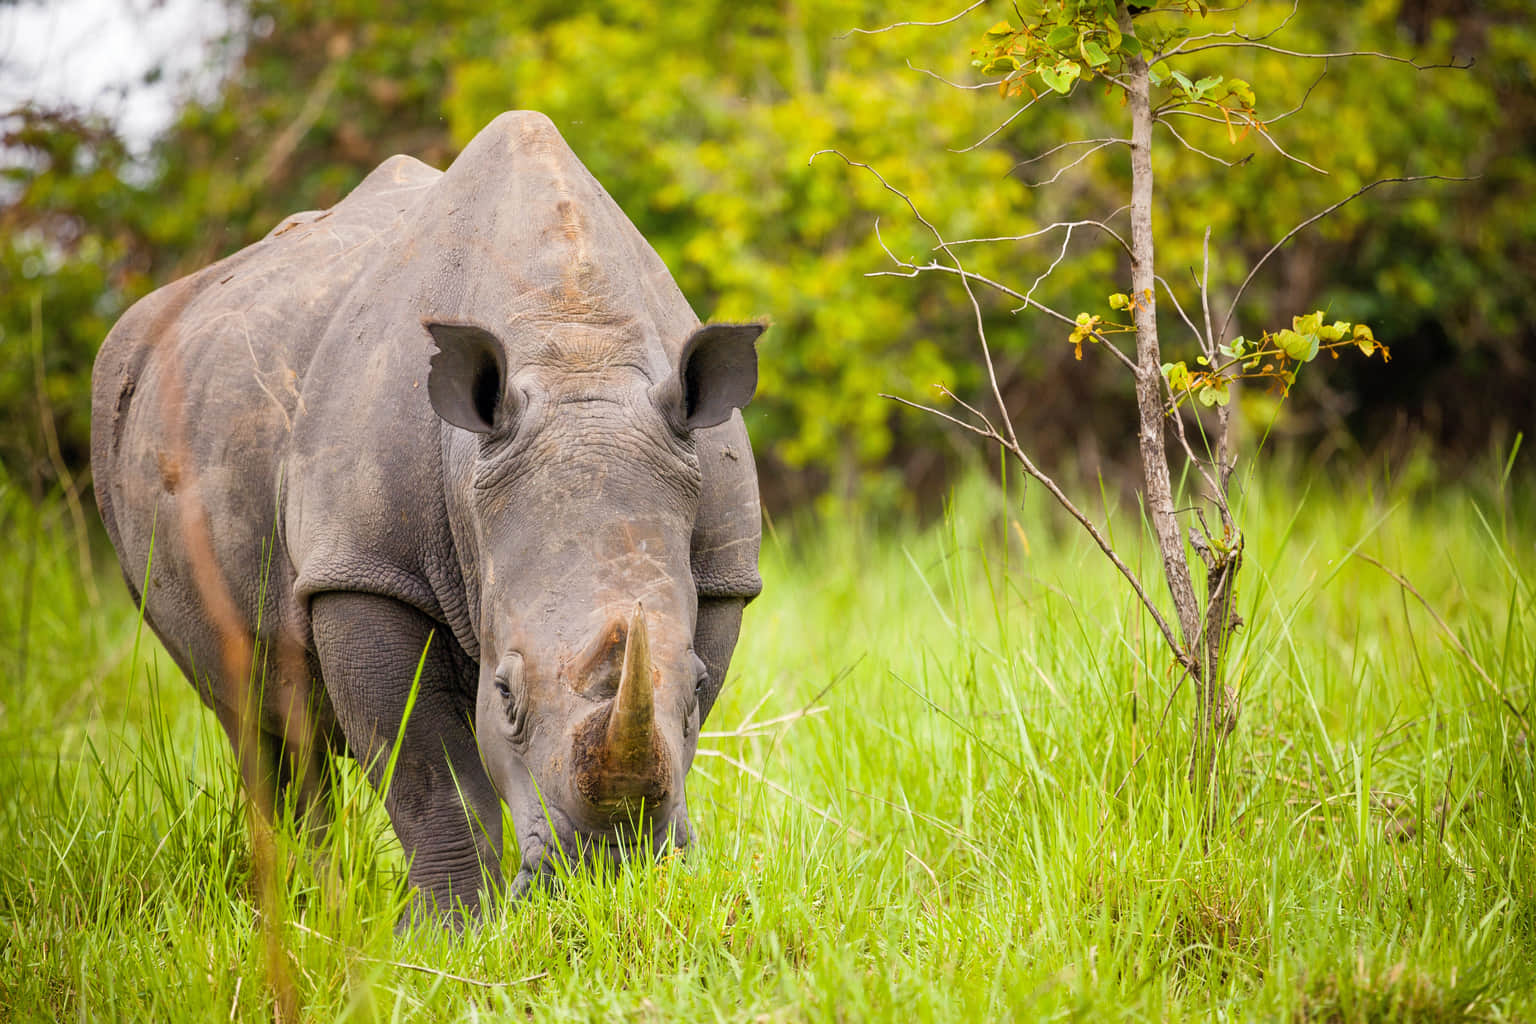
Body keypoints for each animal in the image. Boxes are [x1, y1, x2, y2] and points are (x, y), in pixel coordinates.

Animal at [90, 111, 765, 918]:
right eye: (504, 696)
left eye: (695, 685)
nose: (608, 870)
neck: (577, 350)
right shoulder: (365, 567)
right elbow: (430, 775)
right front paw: (456, 930)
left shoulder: (723, 573)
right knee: (257, 717)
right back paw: (314, 911)